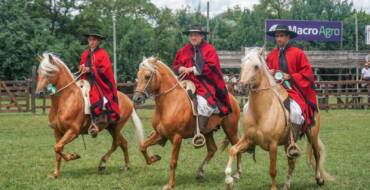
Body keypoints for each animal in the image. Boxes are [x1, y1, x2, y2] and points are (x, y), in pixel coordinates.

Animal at [133, 57, 243, 189]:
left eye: (147, 76)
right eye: (138, 75)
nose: (136, 98)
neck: (170, 102)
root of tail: (233, 99)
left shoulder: (176, 138)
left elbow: (173, 162)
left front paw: (170, 185)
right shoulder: (160, 134)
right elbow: (142, 146)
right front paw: (154, 158)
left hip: (231, 130)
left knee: (237, 146)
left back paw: (237, 174)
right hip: (208, 132)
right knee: (212, 149)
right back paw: (200, 172)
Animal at [224, 48, 334, 190]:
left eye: (256, 66)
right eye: (242, 65)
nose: (241, 87)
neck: (262, 112)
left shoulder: (273, 145)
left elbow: (272, 170)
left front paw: (273, 187)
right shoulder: (248, 140)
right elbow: (232, 150)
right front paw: (229, 179)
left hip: (312, 135)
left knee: (317, 154)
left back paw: (319, 179)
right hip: (289, 143)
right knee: (292, 162)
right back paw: (287, 184)